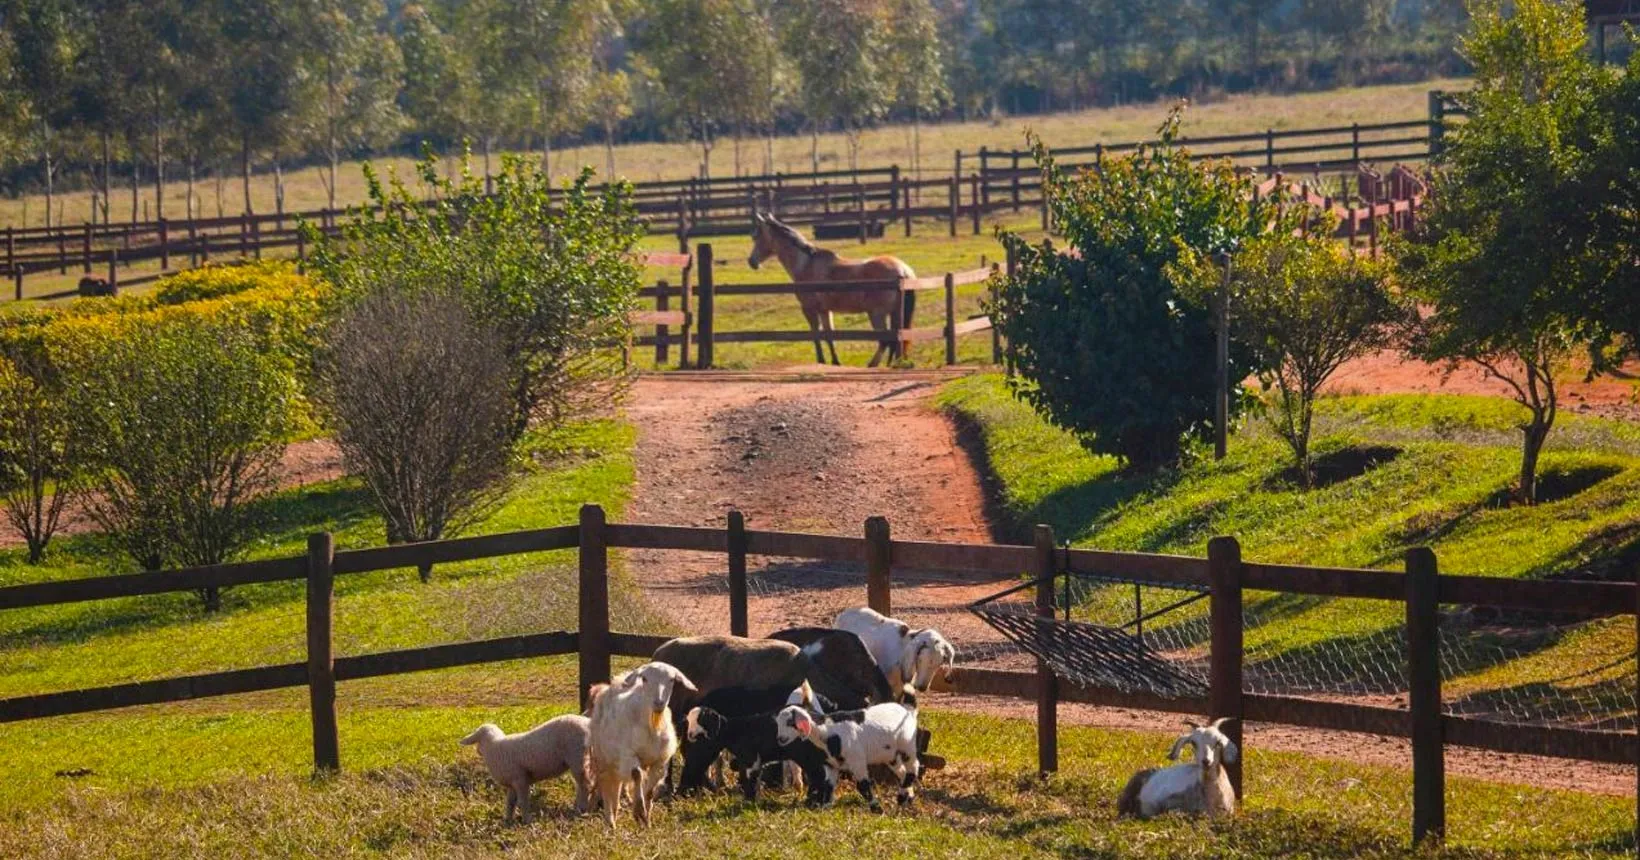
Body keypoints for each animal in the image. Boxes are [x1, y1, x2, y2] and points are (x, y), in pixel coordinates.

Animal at [459, 712, 593, 827]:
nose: (478, 751)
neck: (494, 747)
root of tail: (586, 722)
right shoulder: (512, 783)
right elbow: (510, 802)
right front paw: (508, 820)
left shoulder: (520, 780)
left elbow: (522, 802)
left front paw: (526, 820)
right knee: (582, 784)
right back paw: (576, 807)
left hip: (577, 756)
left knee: (585, 785)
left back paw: (581, 809)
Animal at [587, 659, 695, 827]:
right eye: (644, 678)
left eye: (672, 679)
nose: (658, 702)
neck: (652, 725)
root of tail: (614, 684)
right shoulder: (628, 754)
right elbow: (636, 774)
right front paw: (639, 810)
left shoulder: (660, 761)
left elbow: (649, 790)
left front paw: (646, 817)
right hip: (603, 758)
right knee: (607, 788)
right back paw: (610, 821)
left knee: (616, 787)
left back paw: (615, 816)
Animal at [751, 213, 918, 365]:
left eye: (756, 237)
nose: (751, 262)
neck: (806, 264)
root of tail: (903, 270)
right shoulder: (825, 310)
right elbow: (829, 335)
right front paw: (835, 361)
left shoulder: (809, 309)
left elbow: (816, 335)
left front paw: (821, 361)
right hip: (895, 313)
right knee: (898, 339)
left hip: (877, 314)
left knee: (886, 341)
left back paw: (873, 364)